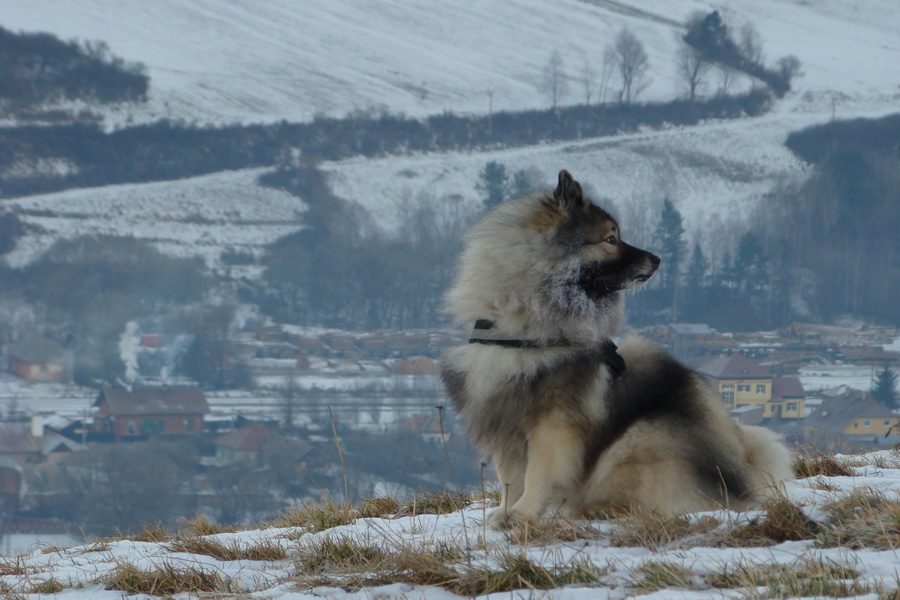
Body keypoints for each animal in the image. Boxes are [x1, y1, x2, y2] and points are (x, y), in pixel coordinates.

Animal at [440, 171, 792, 528]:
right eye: (610, 239)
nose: (657, 259)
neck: (523, 331)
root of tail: (737, 477)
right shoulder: (502, 417)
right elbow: (510, 476)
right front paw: (506, 512)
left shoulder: (552, 425)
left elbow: (538, 474)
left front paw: (524, 514)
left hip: (641, 436)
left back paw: (605, 508)